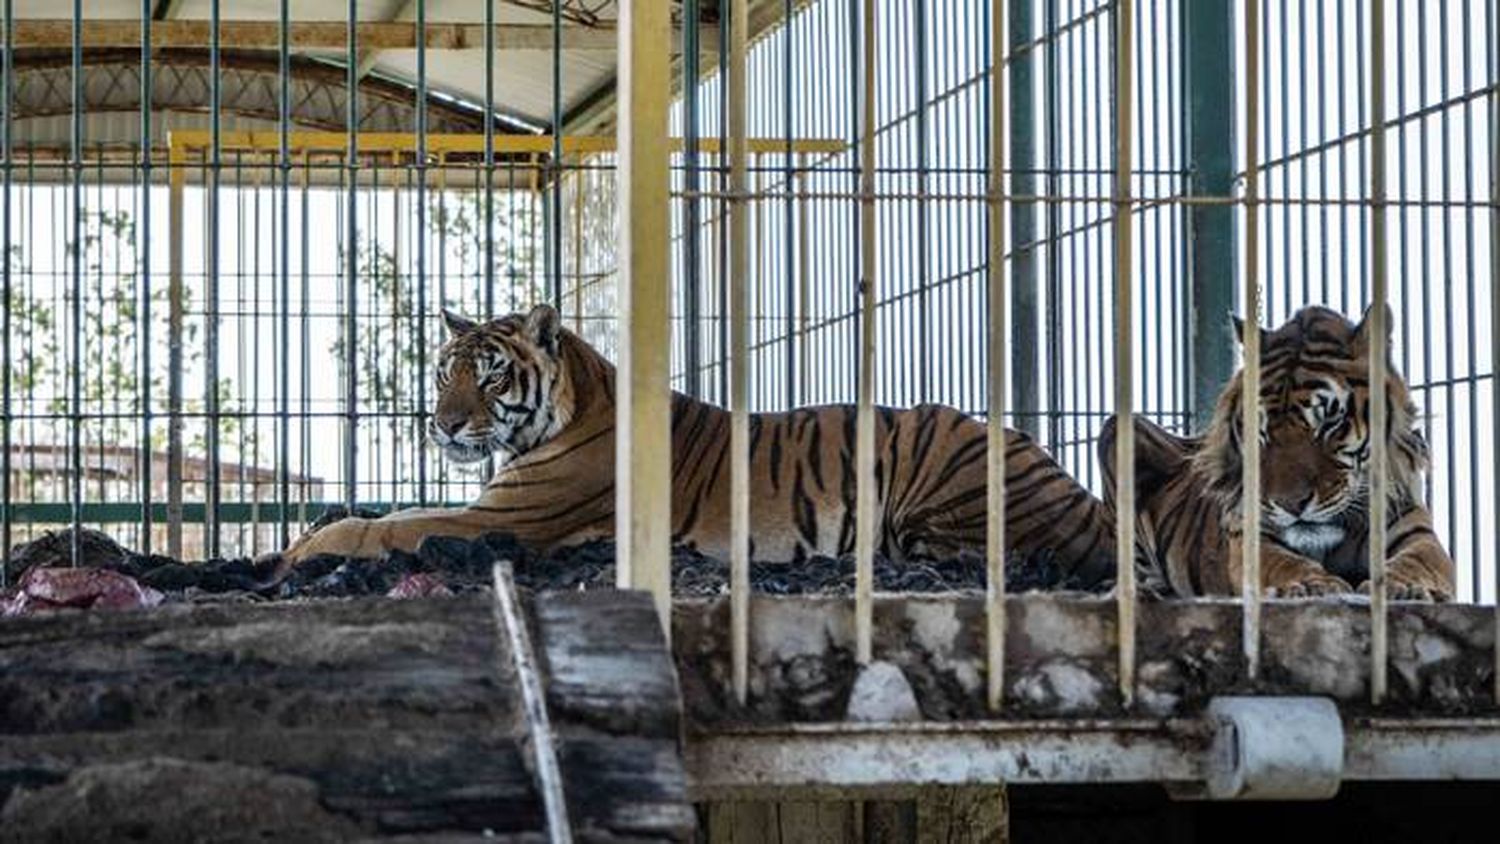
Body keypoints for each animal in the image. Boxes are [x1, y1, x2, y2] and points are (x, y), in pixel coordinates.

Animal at [282, 304, 1122, 587]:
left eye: (488, 376)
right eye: (443, 371)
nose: (445, 424)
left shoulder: (504, 518)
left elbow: (385, 526)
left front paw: (299, 548)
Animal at [1104, 304, 1452, 599]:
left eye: (1329, 421)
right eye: (1261, 430)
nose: (1290, 504)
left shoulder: (1413, 526)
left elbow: (1418, 561)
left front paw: (1403, 587)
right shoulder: (1252, 535)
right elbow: (1284, 563)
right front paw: (1312, 584)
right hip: (1118, 428)